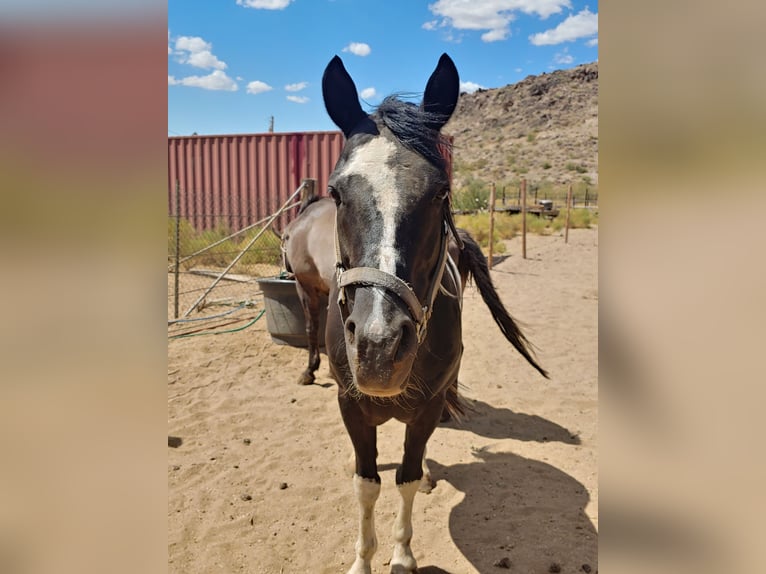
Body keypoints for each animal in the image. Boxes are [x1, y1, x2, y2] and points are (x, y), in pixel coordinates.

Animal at [304, 53, 548, 572]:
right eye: (336, 193)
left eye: (441, 193)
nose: (378, 347)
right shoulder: (349, 404)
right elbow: (366, 484)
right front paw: (362, 559)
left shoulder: (427, 408)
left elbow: (408, 479)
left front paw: (401, 555)